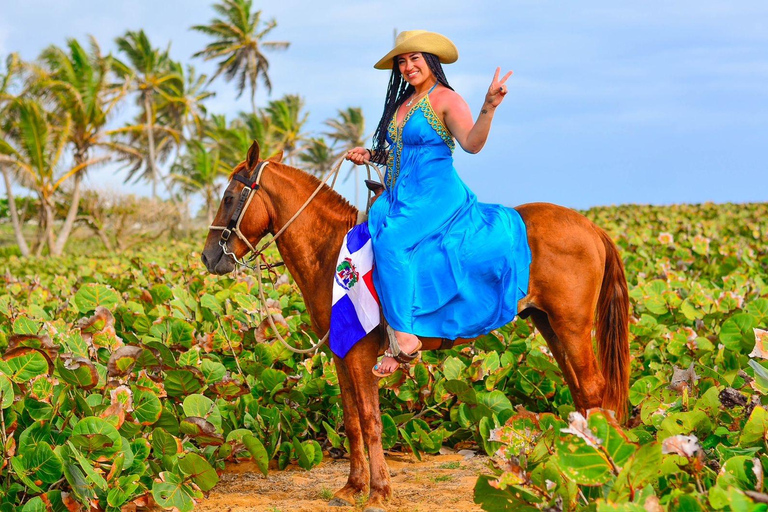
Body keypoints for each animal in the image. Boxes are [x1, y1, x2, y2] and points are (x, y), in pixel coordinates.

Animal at [201, 141, 628, 512]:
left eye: (229, 197)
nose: (208, 257)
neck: (331, 250)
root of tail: (590, 228)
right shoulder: (341, 353)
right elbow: (351, 421)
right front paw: (352, 487)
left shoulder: (360, 354)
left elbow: (371, 421)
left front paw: (378, 492)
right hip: (549, 325)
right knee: (580, 394)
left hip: (572, 327)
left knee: (593, 389)